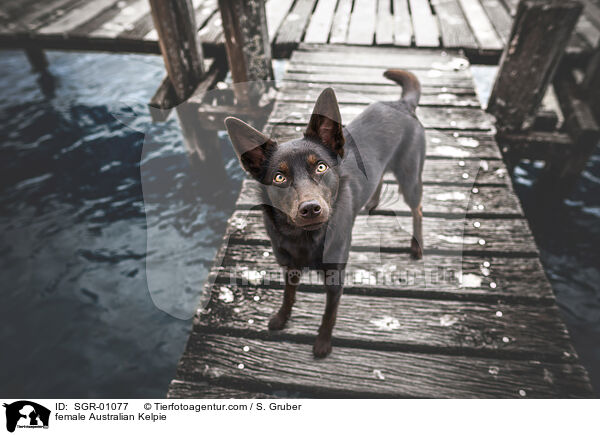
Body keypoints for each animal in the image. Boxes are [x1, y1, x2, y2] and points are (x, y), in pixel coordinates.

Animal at [225, 70, 426, 360]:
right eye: (279, 177)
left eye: (321, 167)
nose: (310, 208)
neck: (304, 237)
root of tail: (401, 104)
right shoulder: (288, 266)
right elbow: (288, 295)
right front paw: (282, 318)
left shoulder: (334, 277)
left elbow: (329, 313)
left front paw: (322, 343)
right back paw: (371, 201)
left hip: (410, 177)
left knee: (417, 209)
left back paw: (416, 245)